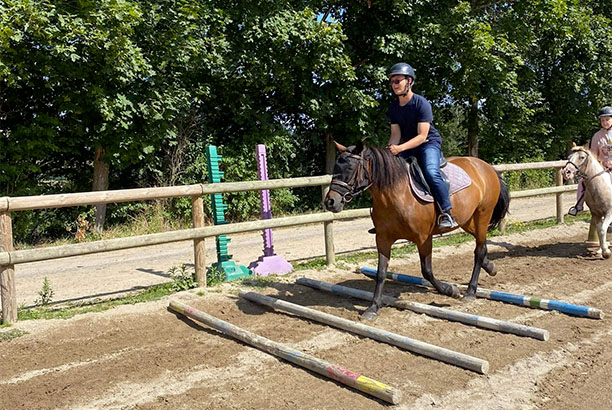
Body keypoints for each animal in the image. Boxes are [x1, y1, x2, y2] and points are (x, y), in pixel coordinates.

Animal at [326, 141, 512, 320]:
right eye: (335, 168)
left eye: (350, 168)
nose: (330, 202)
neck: (396, 194)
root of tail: (487, 167)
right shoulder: (383, 239)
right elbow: (381, 273)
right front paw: (373, 308)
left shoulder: (423, 238)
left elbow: (427, 271)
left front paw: (450, 290)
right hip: (466, 220)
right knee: (482, 246)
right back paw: (490, 267)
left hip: (482, 215)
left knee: (479, 250)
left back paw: (471, 291)